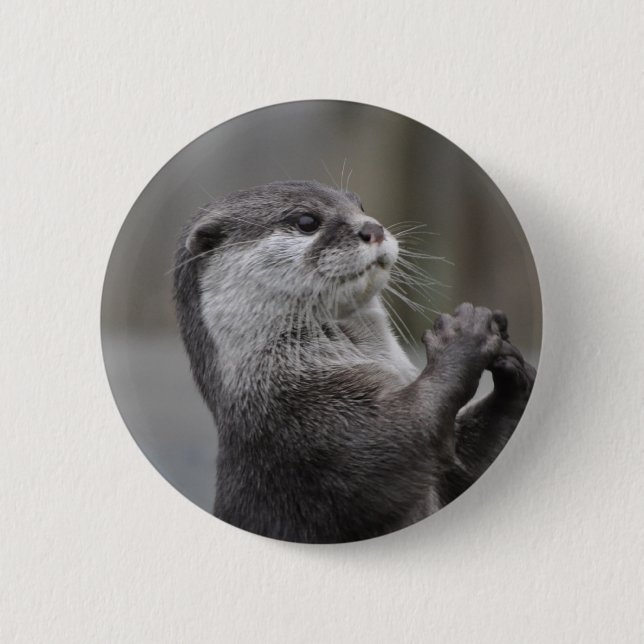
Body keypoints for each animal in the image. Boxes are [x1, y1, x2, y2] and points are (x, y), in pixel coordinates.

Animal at [173, 180, 535, 543]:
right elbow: (405, 435)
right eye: (306, 221)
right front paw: (464, 335)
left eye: (360, 206)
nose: (373, 228)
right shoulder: (313, 435)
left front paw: (512, 368)